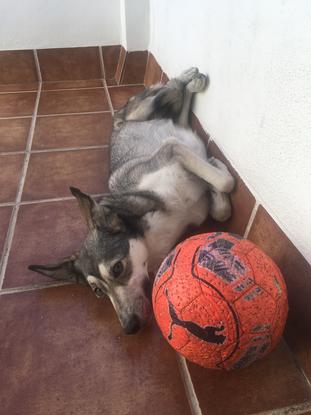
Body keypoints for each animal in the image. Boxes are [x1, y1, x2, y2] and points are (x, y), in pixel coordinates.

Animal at [29, 67, 234, 334]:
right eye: (98, 291)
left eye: (117, 268)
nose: (129, 327)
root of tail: (117, 121)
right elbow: (220, 207)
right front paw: (215, 180)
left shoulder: (171, 150)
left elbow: (225, 183)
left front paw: (217, 169)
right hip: (154, 116)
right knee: (178, 114)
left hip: (142, 111)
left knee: (168, 89)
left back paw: (189, 77)